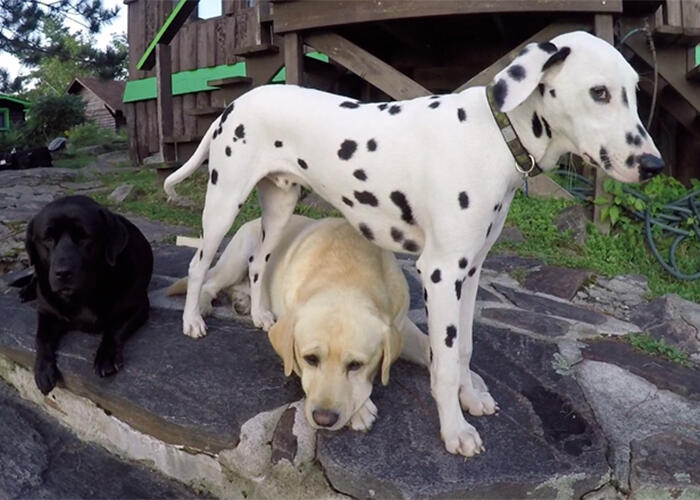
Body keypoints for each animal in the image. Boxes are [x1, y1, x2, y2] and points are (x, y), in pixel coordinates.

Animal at [23, 196, 152, 394]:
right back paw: (26, 291)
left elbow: (115, 328)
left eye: (84, 237)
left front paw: (106, 356)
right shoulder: (47, 312)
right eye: (48, 238)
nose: (63, 273)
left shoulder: (138, 306)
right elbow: (41, 338)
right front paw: (43, 369)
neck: (83, 295)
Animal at [164, 31, 660, 458]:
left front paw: (469, 396)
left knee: (259, 262)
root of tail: (233, 104)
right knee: (198, 266)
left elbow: (463, 349)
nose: (654, 165)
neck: (492, 133)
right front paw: (455, 428)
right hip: (223, 204)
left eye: (635, 92)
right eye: (599, 92)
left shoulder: (471, 271)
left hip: (279, 208)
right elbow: (444, 361)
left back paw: (263, 315)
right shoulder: (440, 273)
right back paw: (191, 321)